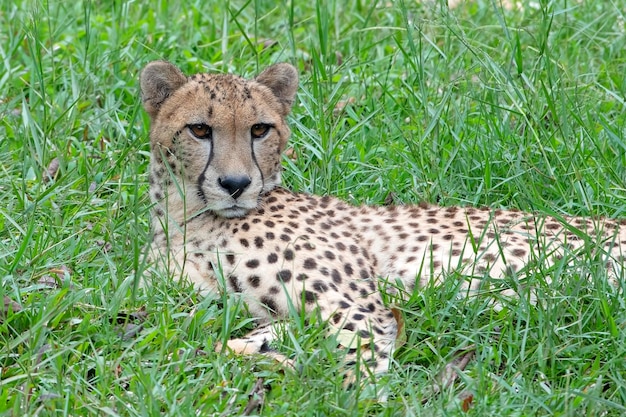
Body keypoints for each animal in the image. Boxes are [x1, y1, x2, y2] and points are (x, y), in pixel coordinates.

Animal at [140, 61, 624, 376]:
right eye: (200, 130)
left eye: (260, 129)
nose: (236, 183)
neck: (190, 219)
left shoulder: (359, 306)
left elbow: (358, 360)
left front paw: (356, 398)